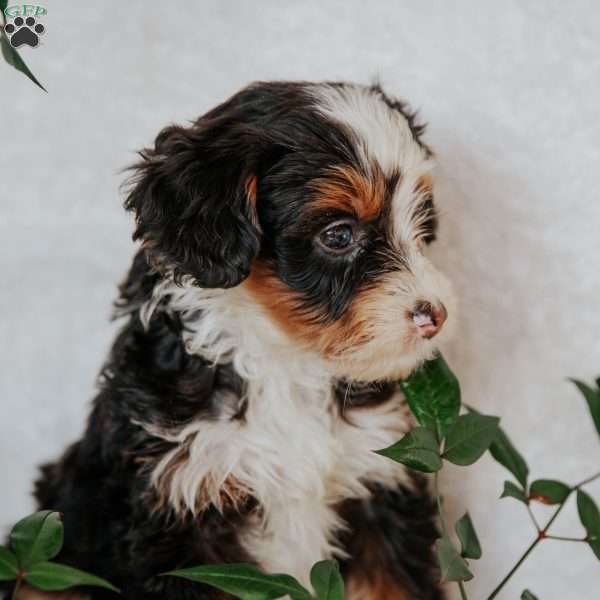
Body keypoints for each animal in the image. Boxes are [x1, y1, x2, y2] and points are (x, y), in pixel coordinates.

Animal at [24, 81, 460, 600]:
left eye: (422, 227)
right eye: (338, 235)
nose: (435, 315)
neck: (285, 362)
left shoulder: (382, 478)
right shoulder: (182, 509)